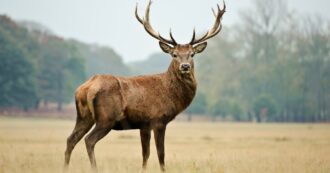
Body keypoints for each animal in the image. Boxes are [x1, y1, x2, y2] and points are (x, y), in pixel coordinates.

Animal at [63, 0, 226, 172]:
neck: (170, 94)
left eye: (192, 54)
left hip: (84, 116)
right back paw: (94, 167)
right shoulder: (158, 120)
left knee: (71, 139)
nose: (185, 66)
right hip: (106, 118)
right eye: (174, 54)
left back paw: (65, 167)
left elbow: (145, 154)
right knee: (89, 140)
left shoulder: (144, 125)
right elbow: (161, 154)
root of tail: (86, 88)